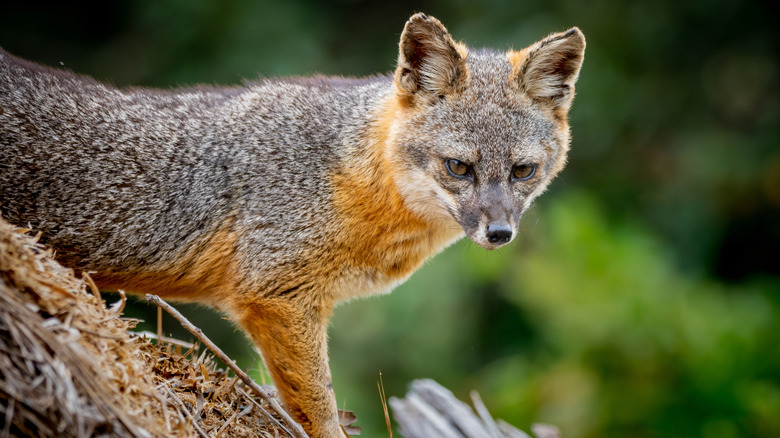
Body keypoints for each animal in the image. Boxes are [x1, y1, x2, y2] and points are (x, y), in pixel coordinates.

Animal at [0, 13, 585, 437]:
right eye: (459, 167)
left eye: (523, 171)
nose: (499, 234)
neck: (352, 174)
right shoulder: (278, 296)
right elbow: (317, 406)